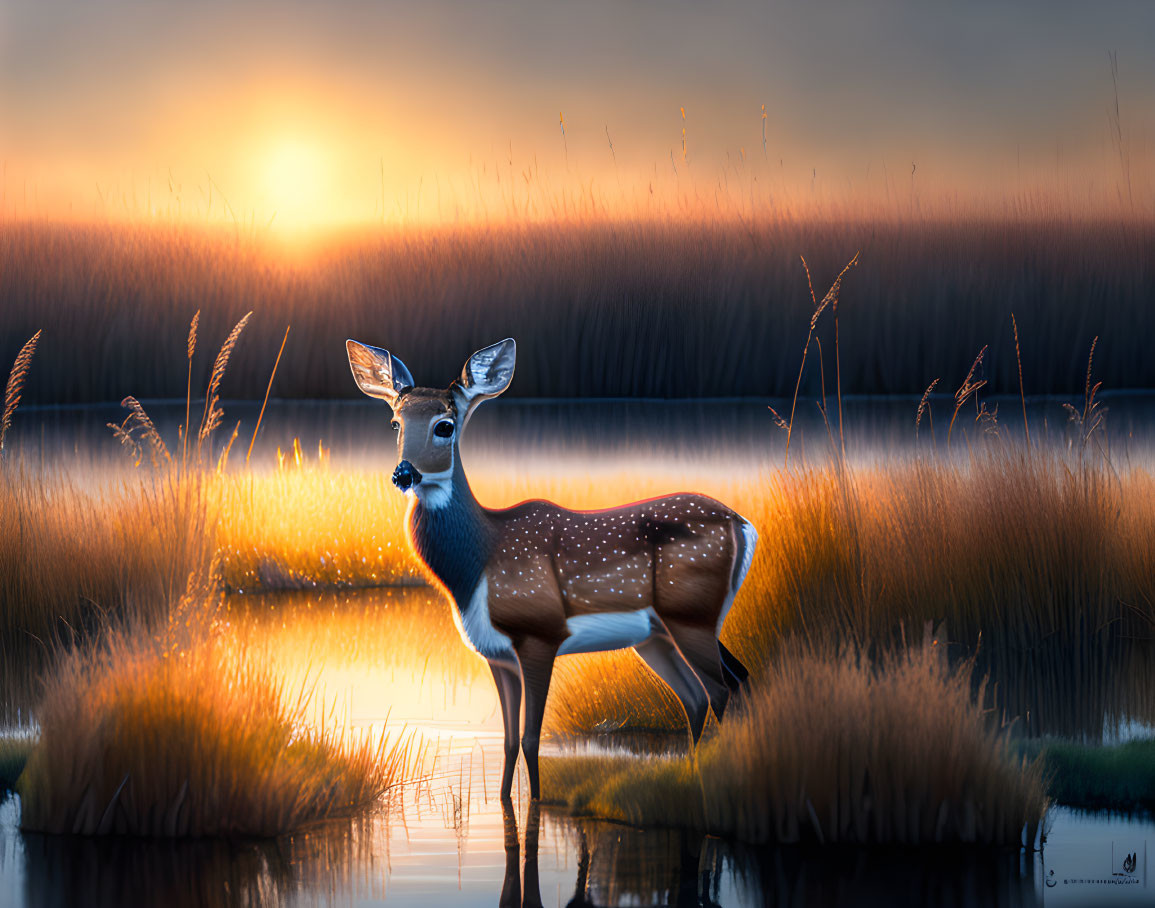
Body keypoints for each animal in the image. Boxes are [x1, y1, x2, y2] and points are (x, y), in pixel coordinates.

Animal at [341, 337, 757, 799]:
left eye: (445, 425)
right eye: (395, 423)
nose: (403, 474)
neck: (481, 561)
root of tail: (743, 525)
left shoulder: (540, 635)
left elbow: (530, 739)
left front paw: (534, 804)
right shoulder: (497, 656)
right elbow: (508, 742)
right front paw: (503, 802)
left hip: (690, 616)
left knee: (720, 689)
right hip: (659, 635)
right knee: (710, 690)